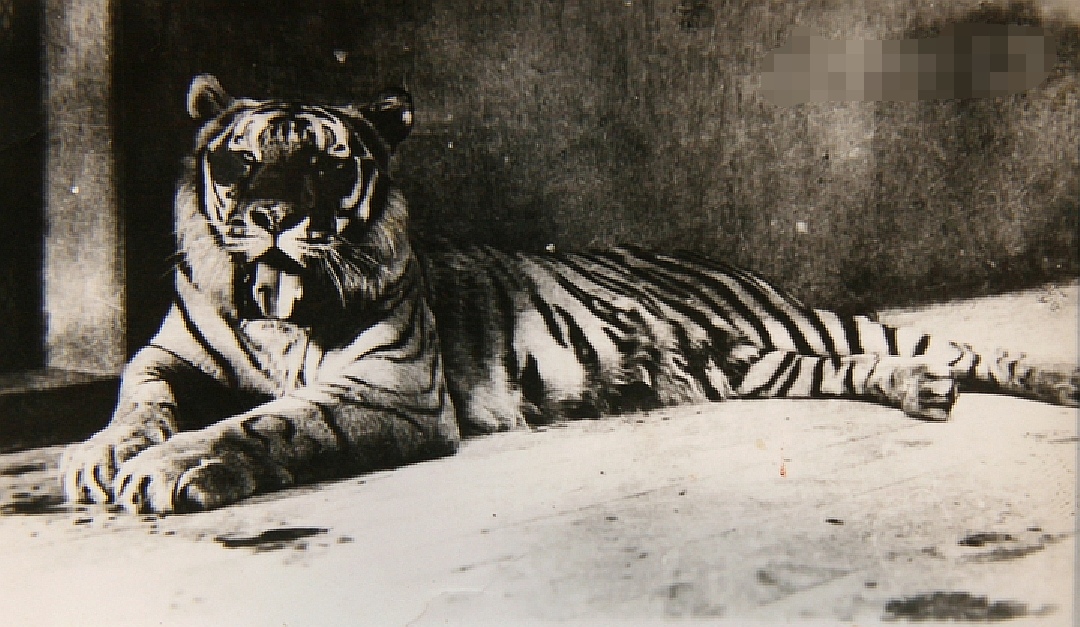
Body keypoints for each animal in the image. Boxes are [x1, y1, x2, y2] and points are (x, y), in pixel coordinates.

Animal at [61, 75, 1079, 514]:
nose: (271, 215)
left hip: (800, 320)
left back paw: (1049, 381)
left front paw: (169, 467)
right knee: (871, 367)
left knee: (957, 347)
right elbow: (138, 398)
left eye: (327, 163)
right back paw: (919, 394)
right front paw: (101, 454)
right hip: (758, 365)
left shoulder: (390, 388)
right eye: (241, 161)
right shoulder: (169, 354)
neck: (278, 314)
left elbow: (269, 421)